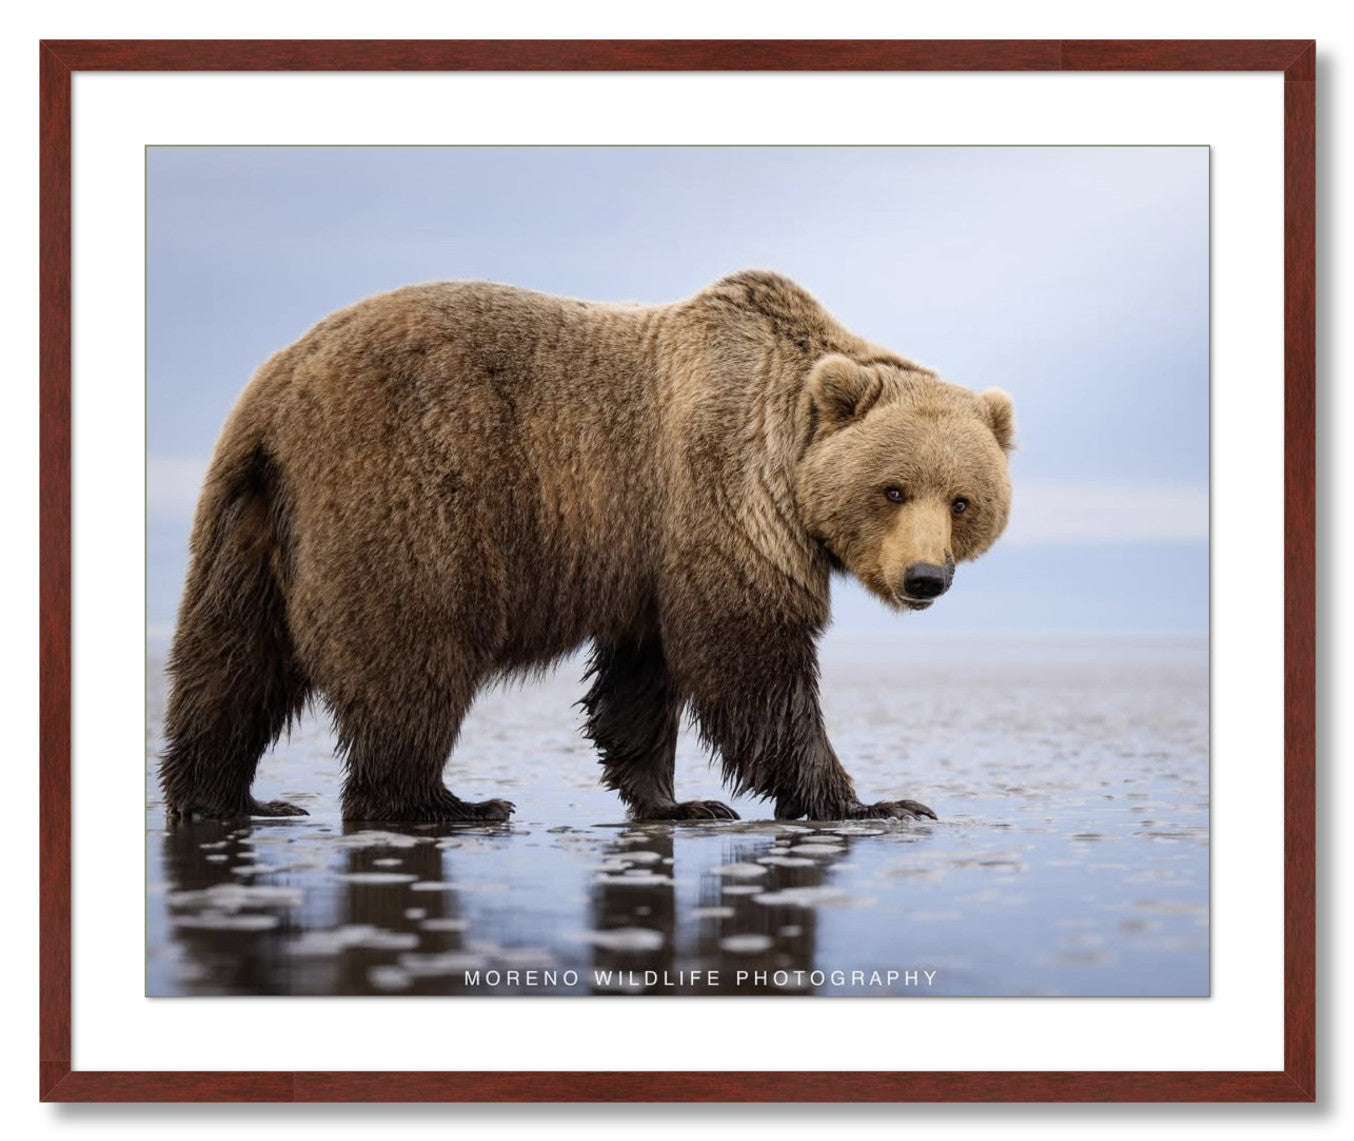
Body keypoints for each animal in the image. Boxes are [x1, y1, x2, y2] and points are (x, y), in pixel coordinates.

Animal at [159, 270, 1014, 824]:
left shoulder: (647, 551)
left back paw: (228, 796)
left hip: (249, 519)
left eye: (963, 500)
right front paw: (875, 801)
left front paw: (677, 801)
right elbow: (750, 658)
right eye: (893, 489)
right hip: (405, 489)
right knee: (412, 654)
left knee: (232, 660)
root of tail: (277, 389)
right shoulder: (720, 496)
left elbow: (643, 676)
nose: (925, 577)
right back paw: (443, 802)